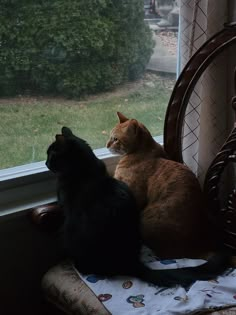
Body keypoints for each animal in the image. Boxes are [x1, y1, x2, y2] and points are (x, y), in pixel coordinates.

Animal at [106, 112, 218, 260]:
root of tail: (194, 250)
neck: (142, 152)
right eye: (110, 137)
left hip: (145, 219)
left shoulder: (133, 192)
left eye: (115, 139)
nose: (106, 145)